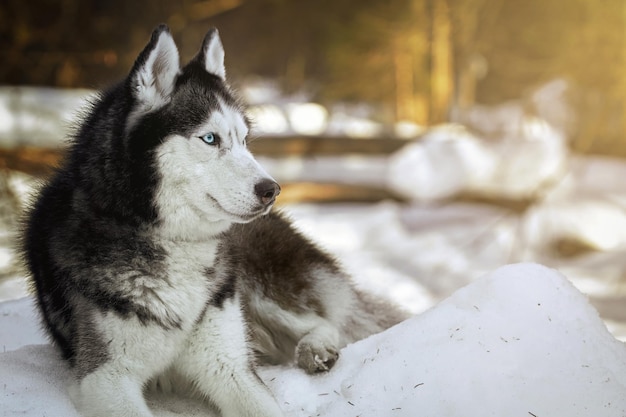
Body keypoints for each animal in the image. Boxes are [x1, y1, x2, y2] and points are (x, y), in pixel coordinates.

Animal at [20, 24, 404, 414]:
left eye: (244, 140)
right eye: (209, 138)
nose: (272, 190)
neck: (174, 244)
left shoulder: (227, 363)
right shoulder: (104, 377)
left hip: (255, 284)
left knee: (320, 319)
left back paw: (316, 348)